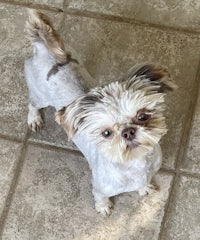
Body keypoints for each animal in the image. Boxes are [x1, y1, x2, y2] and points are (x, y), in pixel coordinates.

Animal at [24, 10, 176, 215]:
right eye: (106, 133)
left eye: (142, 116)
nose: (128, 132)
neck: (134, 164)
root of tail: (44, 48)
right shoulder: (100, 188)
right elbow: (101, 198)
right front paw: (104, 207)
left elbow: (144, 184)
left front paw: (144, 188)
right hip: (40, 96)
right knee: (32, 103)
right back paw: (34, 119)